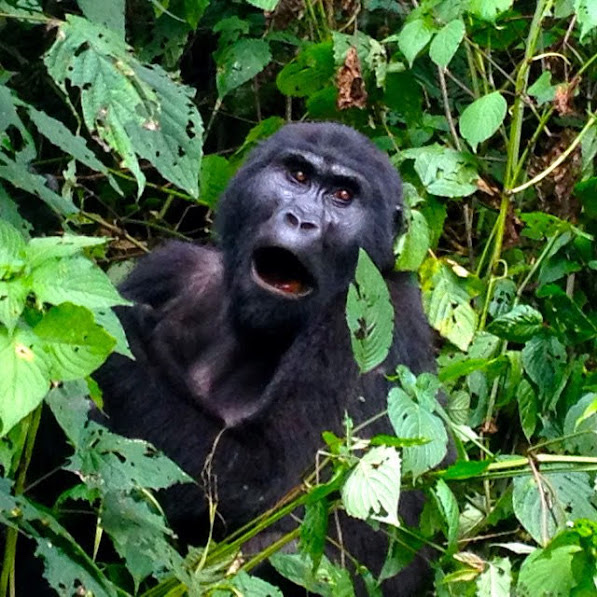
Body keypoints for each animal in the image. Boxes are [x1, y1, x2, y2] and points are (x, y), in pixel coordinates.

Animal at [94, 121, 438, 592]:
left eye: (343, 195)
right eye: (297, 176)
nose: (302, 219)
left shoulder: (373, 319)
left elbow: (274, 491)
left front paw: (115, 328)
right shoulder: (172, 266)